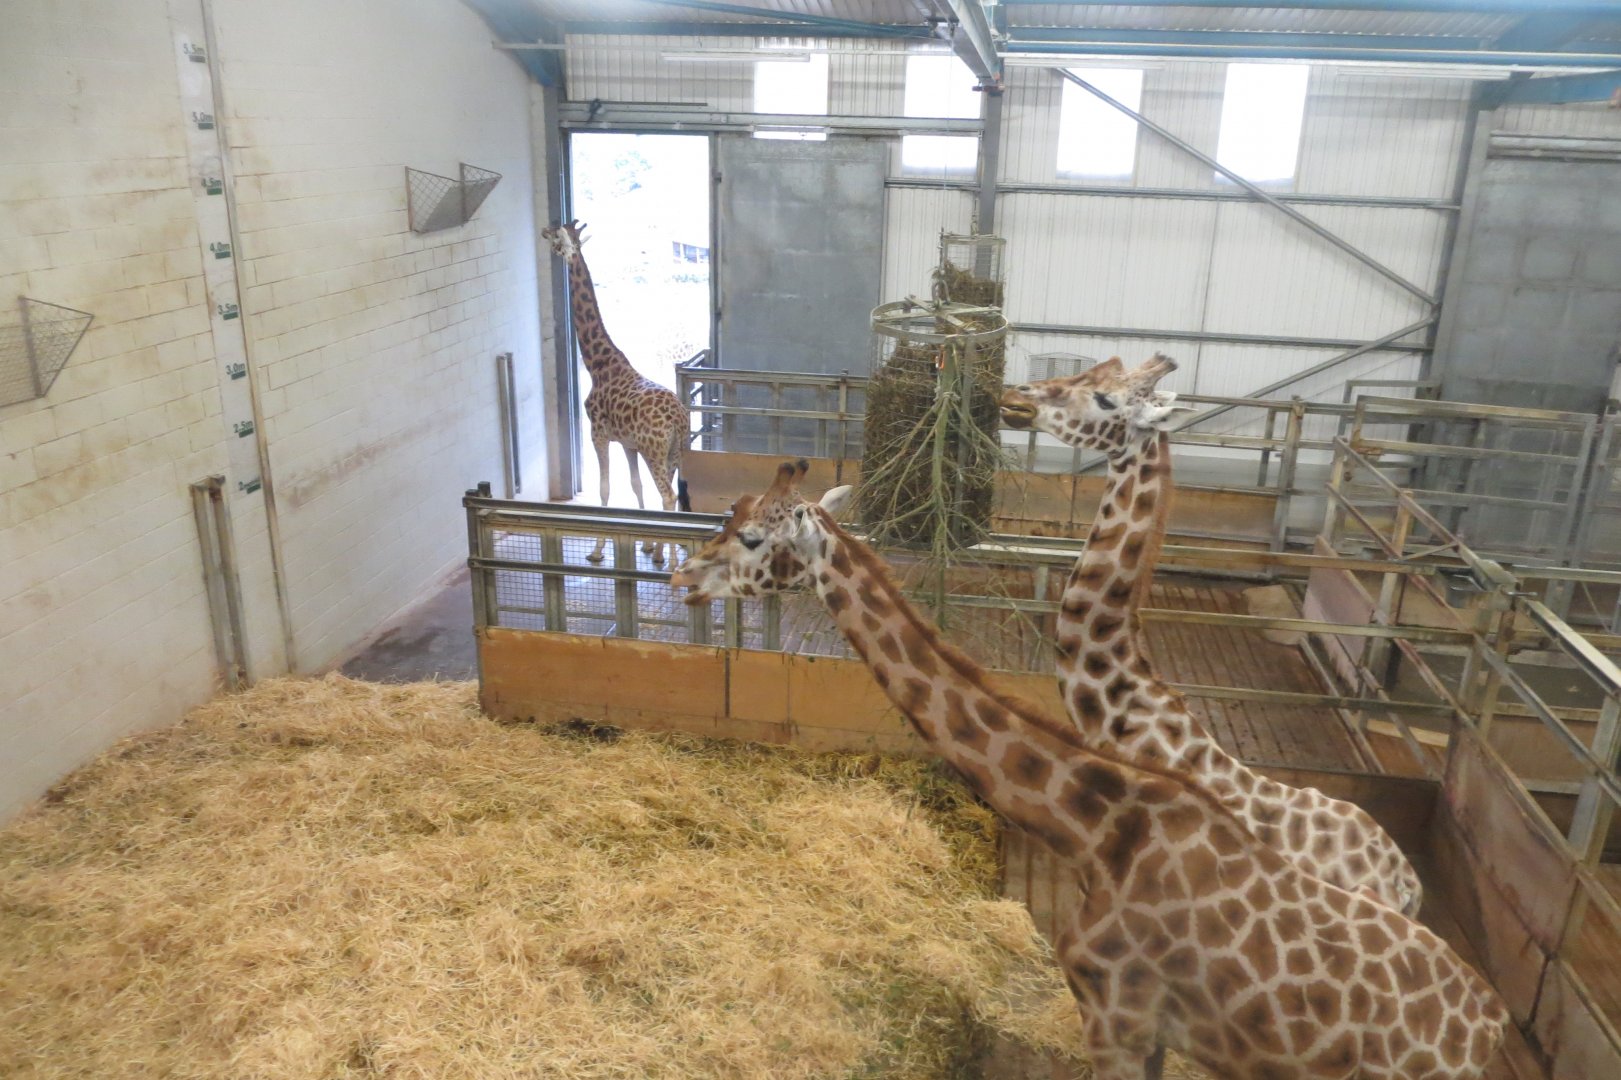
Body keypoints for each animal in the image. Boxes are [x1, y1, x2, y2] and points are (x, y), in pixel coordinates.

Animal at [542, 220, 690, 564]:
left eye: (557, 237)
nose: (543, 235)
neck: (597, 363)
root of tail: (678, 419)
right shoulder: (628, 443)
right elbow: (635, 486)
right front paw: (647, 543)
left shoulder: (598, 434)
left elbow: (604, 488)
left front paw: (597, 549)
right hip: (674, 452)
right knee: (668, 494)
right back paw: (663, 551)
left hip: (655, 451)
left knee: (668, 495)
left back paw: (671, 560)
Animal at [670, 461, 1507, 1080]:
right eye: (729, 514)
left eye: (751, 536)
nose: (682, 576)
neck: (1095, 827)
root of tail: (1491, 1028)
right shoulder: (1145, 1031)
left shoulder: (1116, 1016)